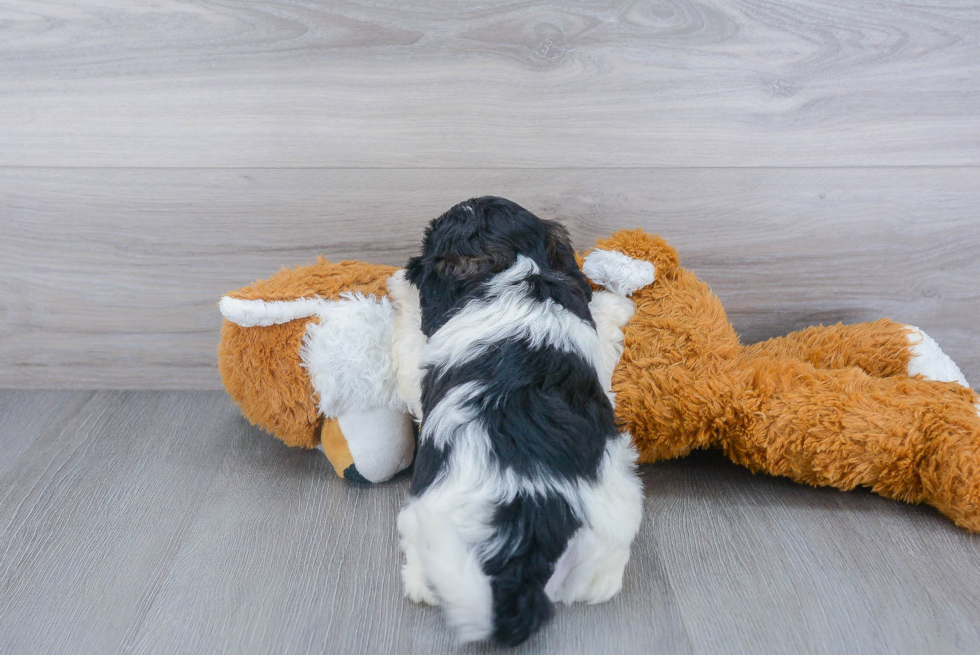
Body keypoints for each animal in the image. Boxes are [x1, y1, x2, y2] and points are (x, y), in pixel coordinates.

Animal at [386, 197, 648, 648]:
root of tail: (528, 527)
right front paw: (617, 305)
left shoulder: (418, 363)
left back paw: (420, 584)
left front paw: (400, 285)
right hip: (611, 521)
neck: (511, 270)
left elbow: (409, 339)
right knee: (600, 581)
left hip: (428, 525)